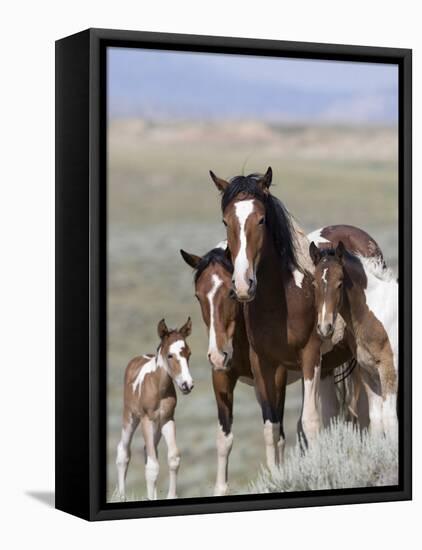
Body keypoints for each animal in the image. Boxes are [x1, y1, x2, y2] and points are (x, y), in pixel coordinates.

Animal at [116, 320, 194, 504]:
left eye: (189, 353)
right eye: (170, 355)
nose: (187, 385)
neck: (159, 388)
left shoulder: (167, 419)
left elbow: (173, 458)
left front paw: (170, 496)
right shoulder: (147, 419)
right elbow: (152, 466)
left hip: (157, 427)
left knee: (148, 451)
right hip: (130, 417)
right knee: (123, 451)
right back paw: (121, 497)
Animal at [209, 166, 322, 472]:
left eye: (261, 219)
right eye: (225, 221)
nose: (242, 285)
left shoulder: (311, 354)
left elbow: (310, 422)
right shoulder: (265, 364)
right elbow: (272, 430)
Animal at [310, 244, 398, 438]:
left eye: (340, 282)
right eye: (314, 283)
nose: (325, 327)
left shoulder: (389, 369)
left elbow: (390, 420)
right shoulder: (368, 372)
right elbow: (376, 420)